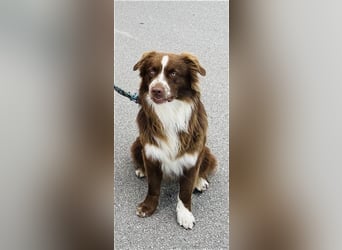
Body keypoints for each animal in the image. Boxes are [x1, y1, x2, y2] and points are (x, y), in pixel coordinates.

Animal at [131, 51, 216, 230]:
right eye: (151, 71)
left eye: (173, 73)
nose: (155, 90)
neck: (169, 112)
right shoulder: (152, 152)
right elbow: (153, 187)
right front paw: (148, 207)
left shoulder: (192, 157)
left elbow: (185, 191)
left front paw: (185, 215)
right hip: (137, 144)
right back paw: (141, 169)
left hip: (206, 151)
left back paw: (200, 181)